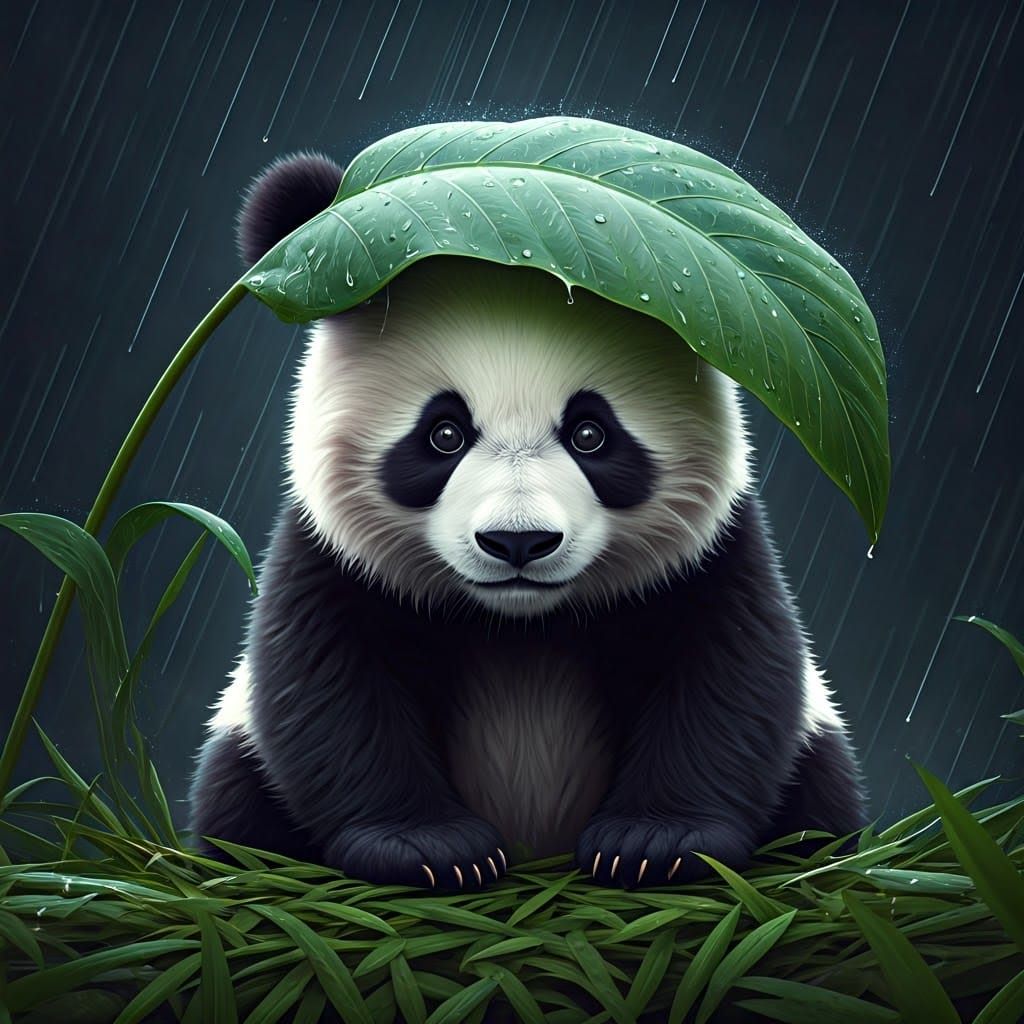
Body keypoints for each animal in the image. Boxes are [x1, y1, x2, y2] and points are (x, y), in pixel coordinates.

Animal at [189, 151, 867, 890]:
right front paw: (427, 848)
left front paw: (656, 841)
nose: (519, 542)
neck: (521, 627)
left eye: (591, 434)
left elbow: (732, 674)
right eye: (444, 434)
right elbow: (326, 685)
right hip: (240, 759)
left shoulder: (710, 550)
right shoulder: (331, 551)